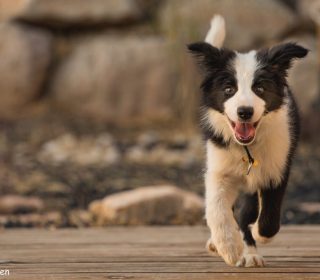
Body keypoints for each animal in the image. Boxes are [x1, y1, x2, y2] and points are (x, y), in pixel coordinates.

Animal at [188, 14, 308, 266]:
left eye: (260, 88)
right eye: (228, 89)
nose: (244, 112)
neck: (248, 149)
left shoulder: (277, 169)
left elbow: (269, 219)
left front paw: (255, 235)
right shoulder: (219, 168)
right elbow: (216, 207)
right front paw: (227, 246)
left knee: (249, 212)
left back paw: (251, 250)